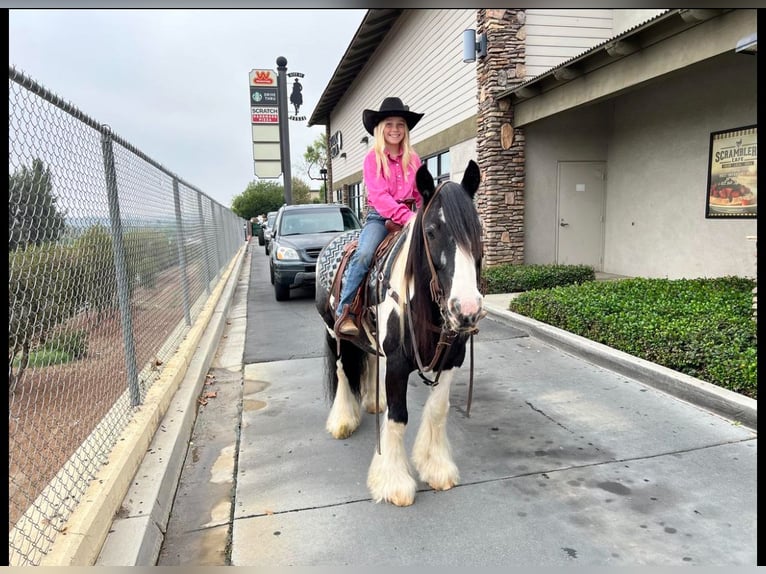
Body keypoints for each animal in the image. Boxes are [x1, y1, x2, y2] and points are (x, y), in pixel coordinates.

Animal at [316, 160, 486, 506]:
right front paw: (393, 482)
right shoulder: (396, 364)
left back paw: (372, 402)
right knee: (342, 372)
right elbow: (398, 416)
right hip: (333, 333)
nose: (467, 309)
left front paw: (436, 468)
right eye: (431, 232)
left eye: (477, 231)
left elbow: (437, 409)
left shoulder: (451, 361)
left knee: (368, 360)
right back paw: (343, 420)